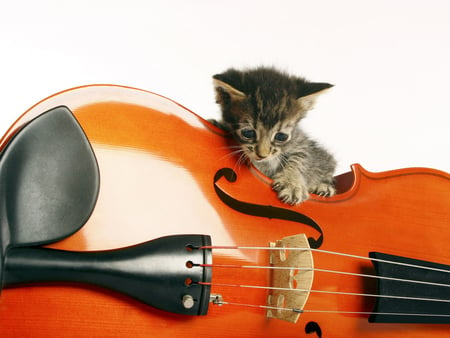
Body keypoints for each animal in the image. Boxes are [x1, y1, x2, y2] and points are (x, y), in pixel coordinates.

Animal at [213, 65, 336, 203]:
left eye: (281, 136)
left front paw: (292, 183)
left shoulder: (301, 142)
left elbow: (300, 157)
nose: (262, 155)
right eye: (248, 133)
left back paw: (323, 188)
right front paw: (217, 124)